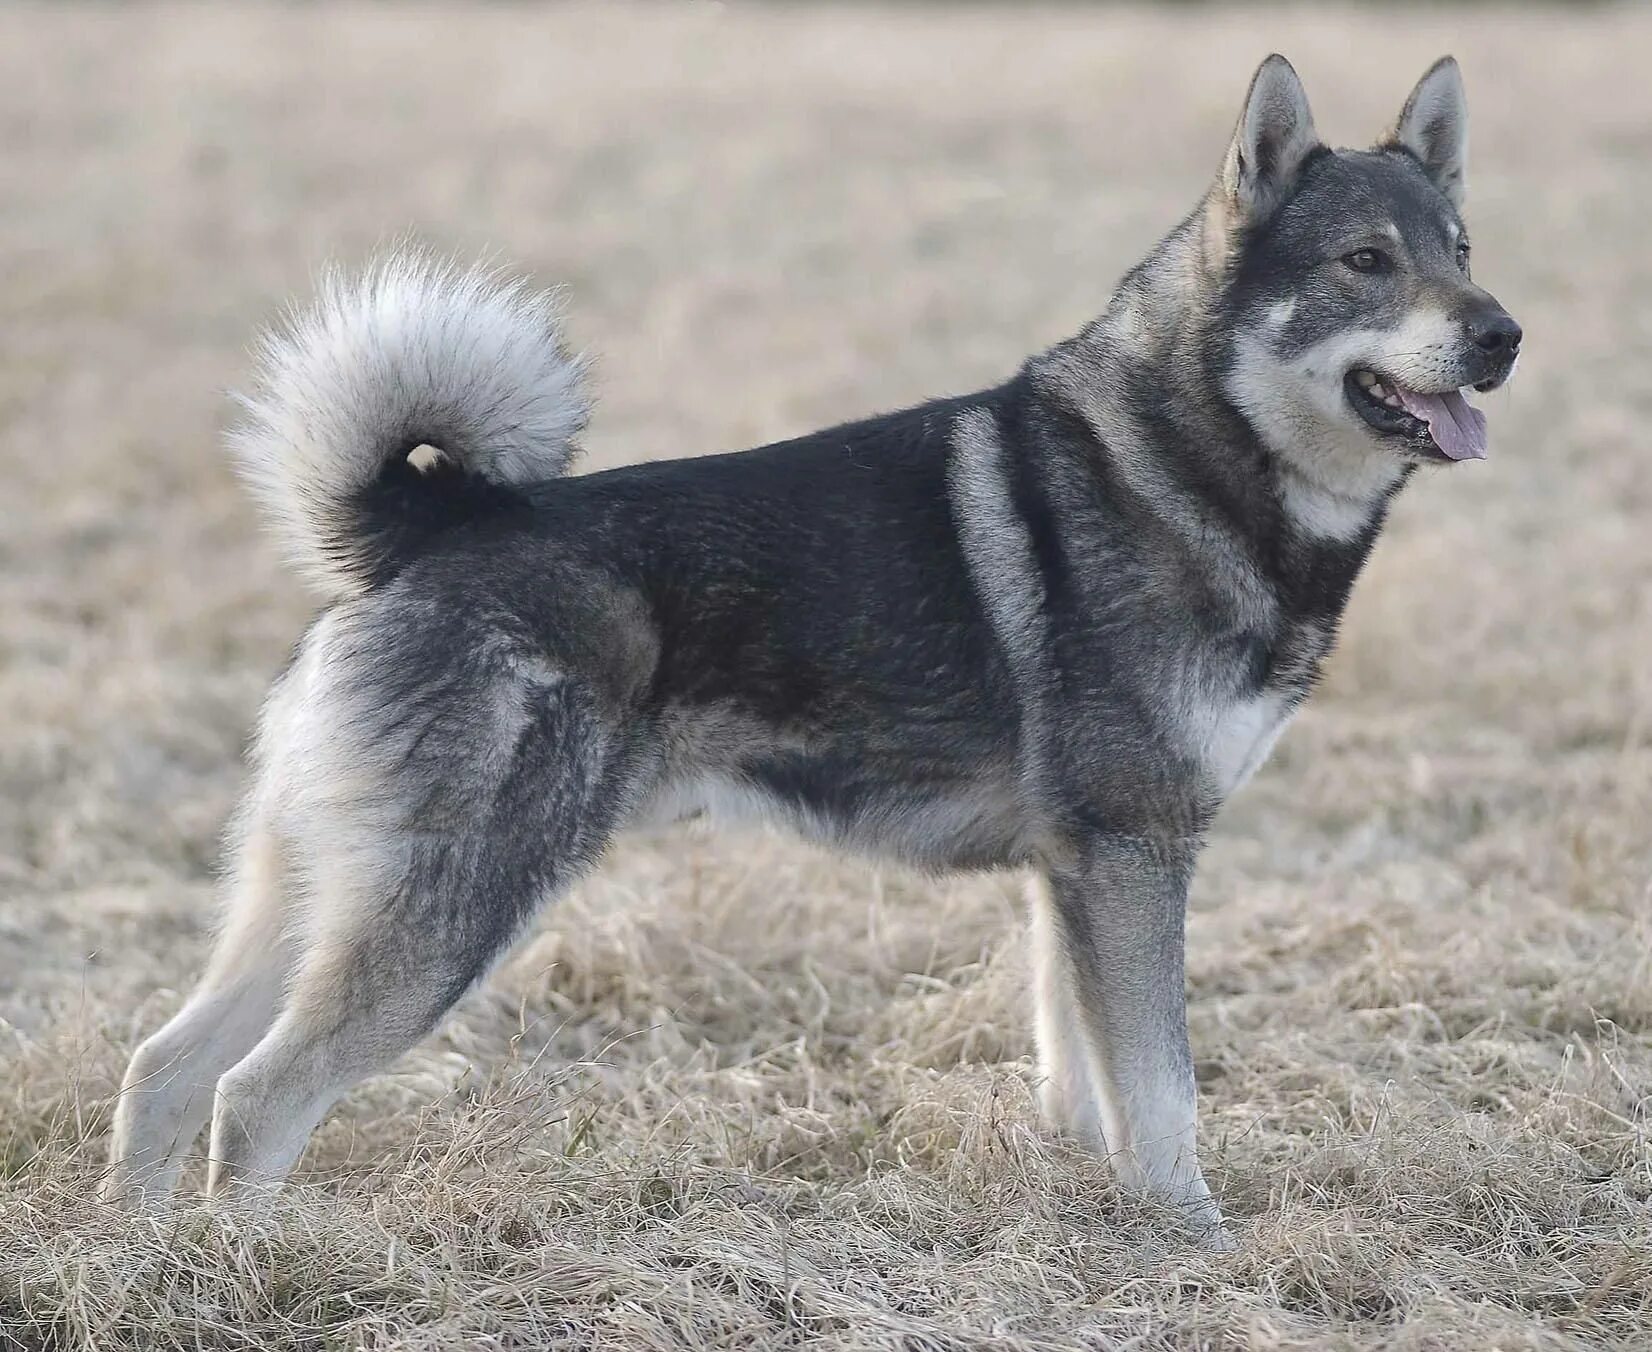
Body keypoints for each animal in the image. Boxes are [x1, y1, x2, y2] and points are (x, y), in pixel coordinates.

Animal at [103, 49, 1513, 1229]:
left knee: (165, 1066)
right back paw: (254, 1260)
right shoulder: (1132, 851)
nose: (1500, 334)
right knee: (256, 1097)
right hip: (451, 912)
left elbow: (1087, 1075)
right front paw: (1191, 1236)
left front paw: (1092, 1199)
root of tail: (421, 528)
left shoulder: (1074, 869)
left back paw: (140, 1255)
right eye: (1364, 261)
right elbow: (1161, 1087)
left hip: (311, 888)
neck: (1183, 459)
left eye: (1458, 247)